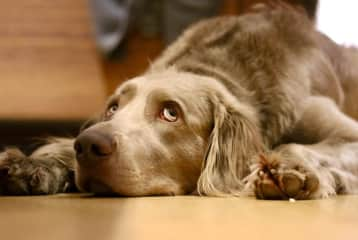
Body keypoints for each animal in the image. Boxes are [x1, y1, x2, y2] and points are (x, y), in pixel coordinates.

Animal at [0, 0, 358, 199]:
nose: (90, 145)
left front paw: (289, 172)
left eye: (171, 113)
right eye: (112, 108)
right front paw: (30, 165)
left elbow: (298, 146)